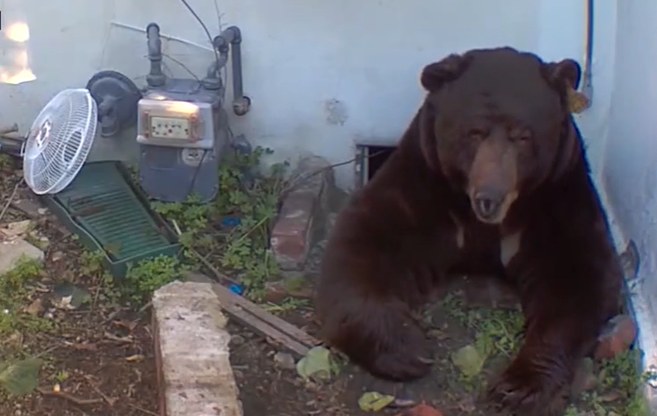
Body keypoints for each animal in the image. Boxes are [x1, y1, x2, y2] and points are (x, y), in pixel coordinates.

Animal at [314, 47, 623, 415]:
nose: (489, 198)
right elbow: (364, 241)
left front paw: (518, 387)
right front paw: (408, 348)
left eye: (524, 136)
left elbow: (578, 278)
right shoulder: (424, 186)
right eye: (474, 132)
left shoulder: (558, 198)